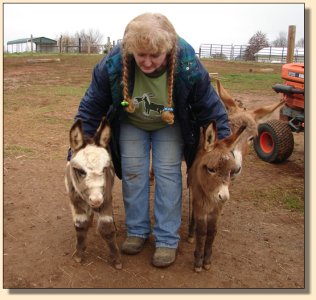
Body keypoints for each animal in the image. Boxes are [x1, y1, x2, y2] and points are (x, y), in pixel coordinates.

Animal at [65, 116, 121, 270]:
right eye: (80, 171)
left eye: (105, 168)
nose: (96, 200)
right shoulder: (75, 200)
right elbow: (80, 225)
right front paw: (79, 255)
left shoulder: (106, 199)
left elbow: (106, 228)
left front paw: (116, 260)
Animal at [188, 120, 247, 272]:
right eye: (211, 169)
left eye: (231, 171)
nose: (224, 197)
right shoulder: (200, 203)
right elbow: (202, 232)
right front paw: (198, 261)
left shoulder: (217, 209)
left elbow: (212, 231)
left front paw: (207, 260)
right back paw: (191, 234)